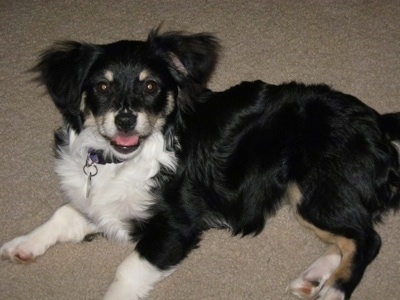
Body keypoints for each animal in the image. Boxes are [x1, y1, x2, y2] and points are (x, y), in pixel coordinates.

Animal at [0, 28, 400, 300]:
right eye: (102, 87)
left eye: (150, 87)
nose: (126, 121)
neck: (118, 159)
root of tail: (377, 121)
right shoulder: (105, 206)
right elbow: (65, 213)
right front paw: (22, 245)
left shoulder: (177, 226)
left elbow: (127, 270)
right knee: (350, 236)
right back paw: (313, 279)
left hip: (315, 188)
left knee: (368, 239)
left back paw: (333, 290)